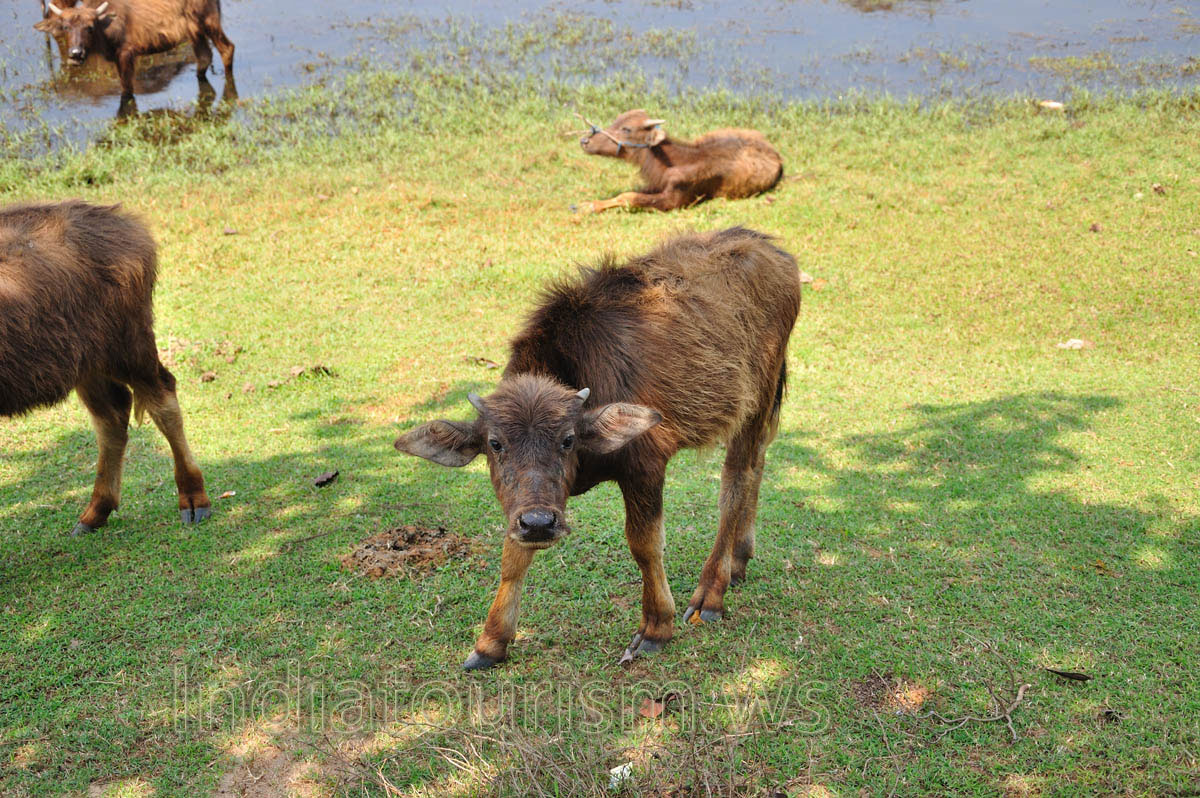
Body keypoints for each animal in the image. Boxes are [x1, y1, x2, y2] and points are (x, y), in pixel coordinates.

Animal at [0, 201, 212, 534]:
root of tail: (125, 223)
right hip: (87, 364)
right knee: (112, 416)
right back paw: (95, 512)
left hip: (129, 347)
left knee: (162, 398)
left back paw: (193, 499)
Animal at [33, 0, 235, 106]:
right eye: (66, 27)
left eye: (89, 27)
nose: (76, 53)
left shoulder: (126, 54)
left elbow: (127, 91)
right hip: (195, 32)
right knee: (204, 57)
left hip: (208, 21)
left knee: (227, 49)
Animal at [395, 228, 800, 669]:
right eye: (495, 443)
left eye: (567, 439)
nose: (539, 524)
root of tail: (771, 248)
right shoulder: (527, 504)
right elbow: (512, 556)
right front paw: (491, 641)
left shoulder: (645, 467)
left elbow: (645, 545)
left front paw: (656, 627)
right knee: (757, 464)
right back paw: (739, 560)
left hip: (756, 400)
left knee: (736, 480)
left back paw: (711, 592)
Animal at [576, 109, 784, 213]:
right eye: (615, 121)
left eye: (626, 129)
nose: (585, 141)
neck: (674, 161)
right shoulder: (658, 184)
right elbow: (626, 194)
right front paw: (587, 205)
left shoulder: (675, 201)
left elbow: (630, 197)